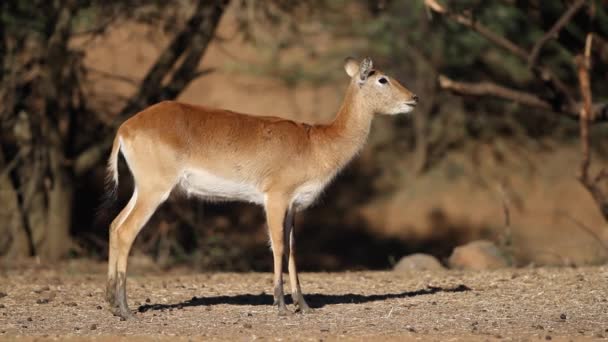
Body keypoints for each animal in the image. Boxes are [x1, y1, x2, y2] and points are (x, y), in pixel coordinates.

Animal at [104, 56, 418, 318]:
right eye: (382, 78)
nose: (413, 98)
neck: (316, 143)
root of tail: (125, 128)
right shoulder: (275, 199)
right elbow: (278, 246)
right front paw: (280, 304)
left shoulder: (293, 206)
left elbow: (292, 249)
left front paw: (303, 305)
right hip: (154, 190)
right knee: (126, 231)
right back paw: (126, 310)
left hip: (142, 189)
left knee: (113, 224)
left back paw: (112, 302)